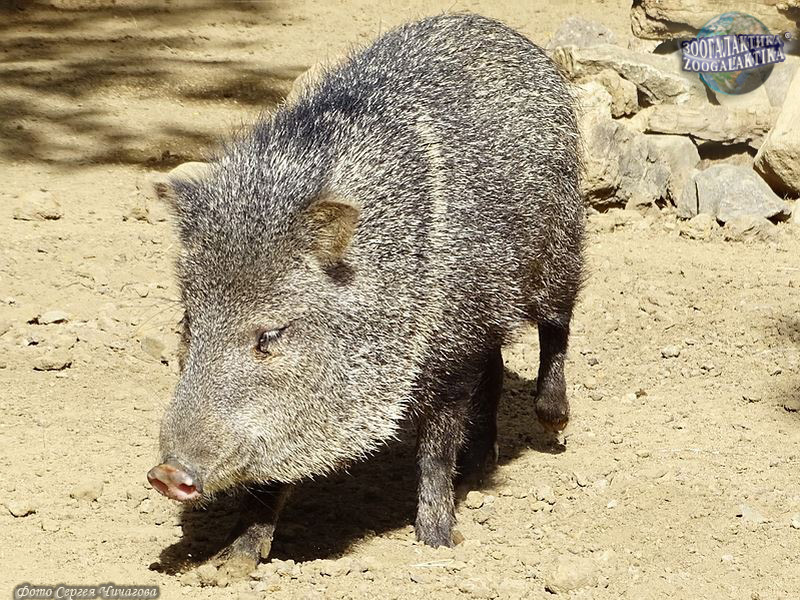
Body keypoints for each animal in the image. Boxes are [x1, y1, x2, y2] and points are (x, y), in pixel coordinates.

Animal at [147, 13, 584, 576]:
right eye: (188, 324)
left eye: (270, 336)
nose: (165, 475)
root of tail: (505, 33)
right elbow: (273, 476)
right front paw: (234, 562)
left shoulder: (447, 358)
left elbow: (434, 451)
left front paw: (437, 541)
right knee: (494, 369)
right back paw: (477, 470)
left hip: (560, 245)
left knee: (557, 324)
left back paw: (553, 421)